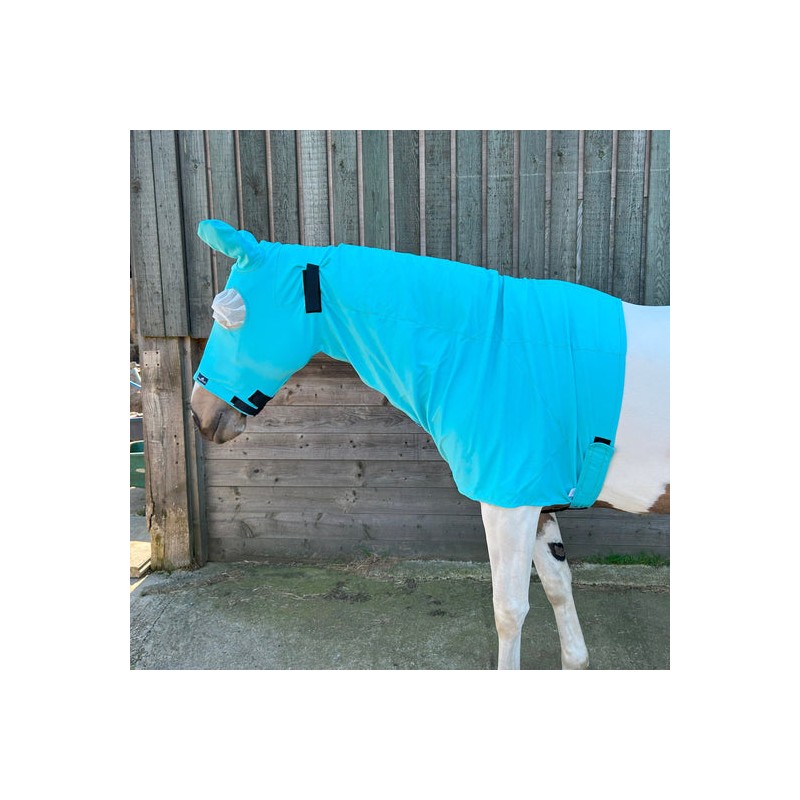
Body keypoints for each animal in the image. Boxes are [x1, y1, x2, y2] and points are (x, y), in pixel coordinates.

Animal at [190, 219, 670, 670]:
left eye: (231, 316)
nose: (199, 414)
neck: (490, 351)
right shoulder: (537, 503)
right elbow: (557, 590)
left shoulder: (509, 507)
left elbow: (509, 611)